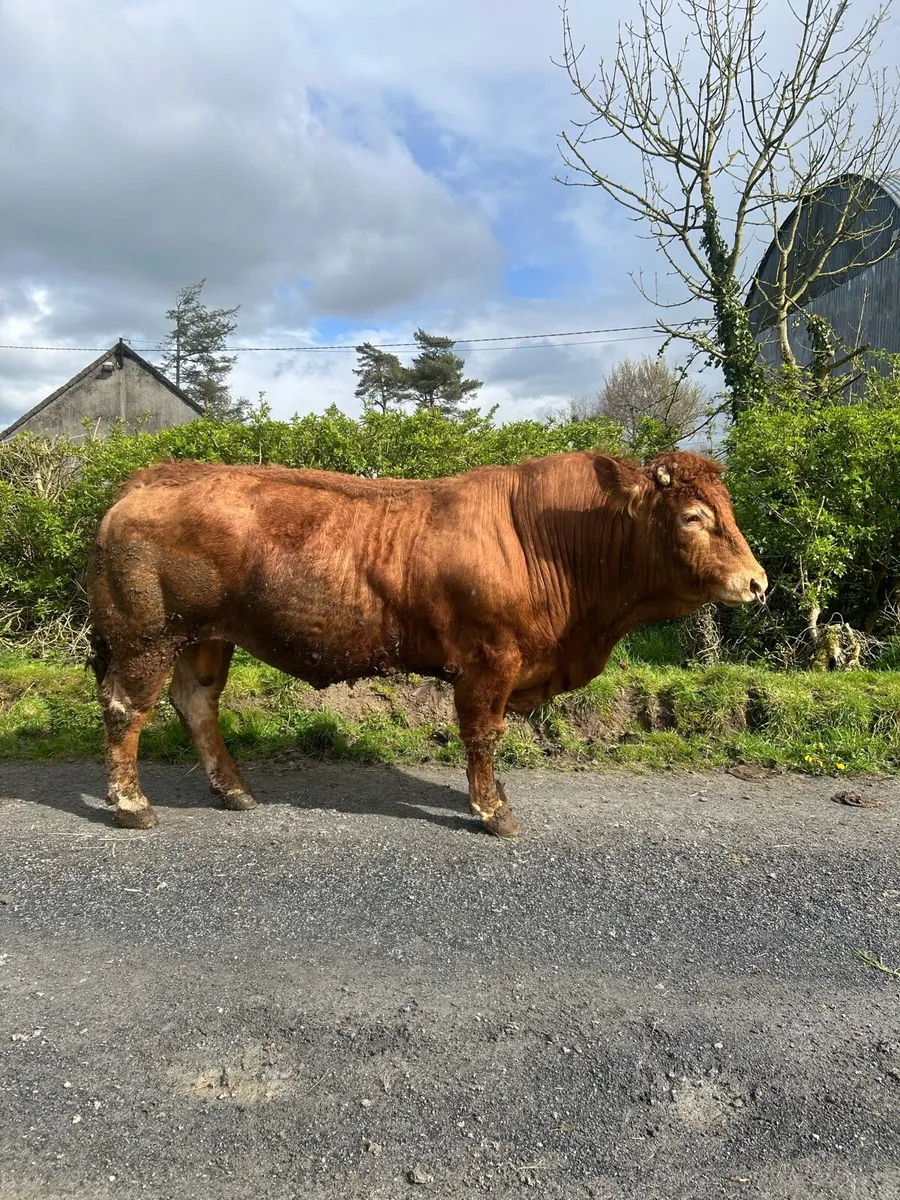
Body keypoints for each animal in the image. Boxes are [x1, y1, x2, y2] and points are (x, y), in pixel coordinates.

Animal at [86, 450, 766, 836]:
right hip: (148, 636)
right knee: (126, 709)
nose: (757, 582)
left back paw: (235, 793)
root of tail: (147, 481)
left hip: (204, 639)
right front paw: (494, 813)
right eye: (693, 517)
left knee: (197, 705)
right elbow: (483, 736)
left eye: (728, 507)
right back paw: (132, 806)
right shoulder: (489, 662)